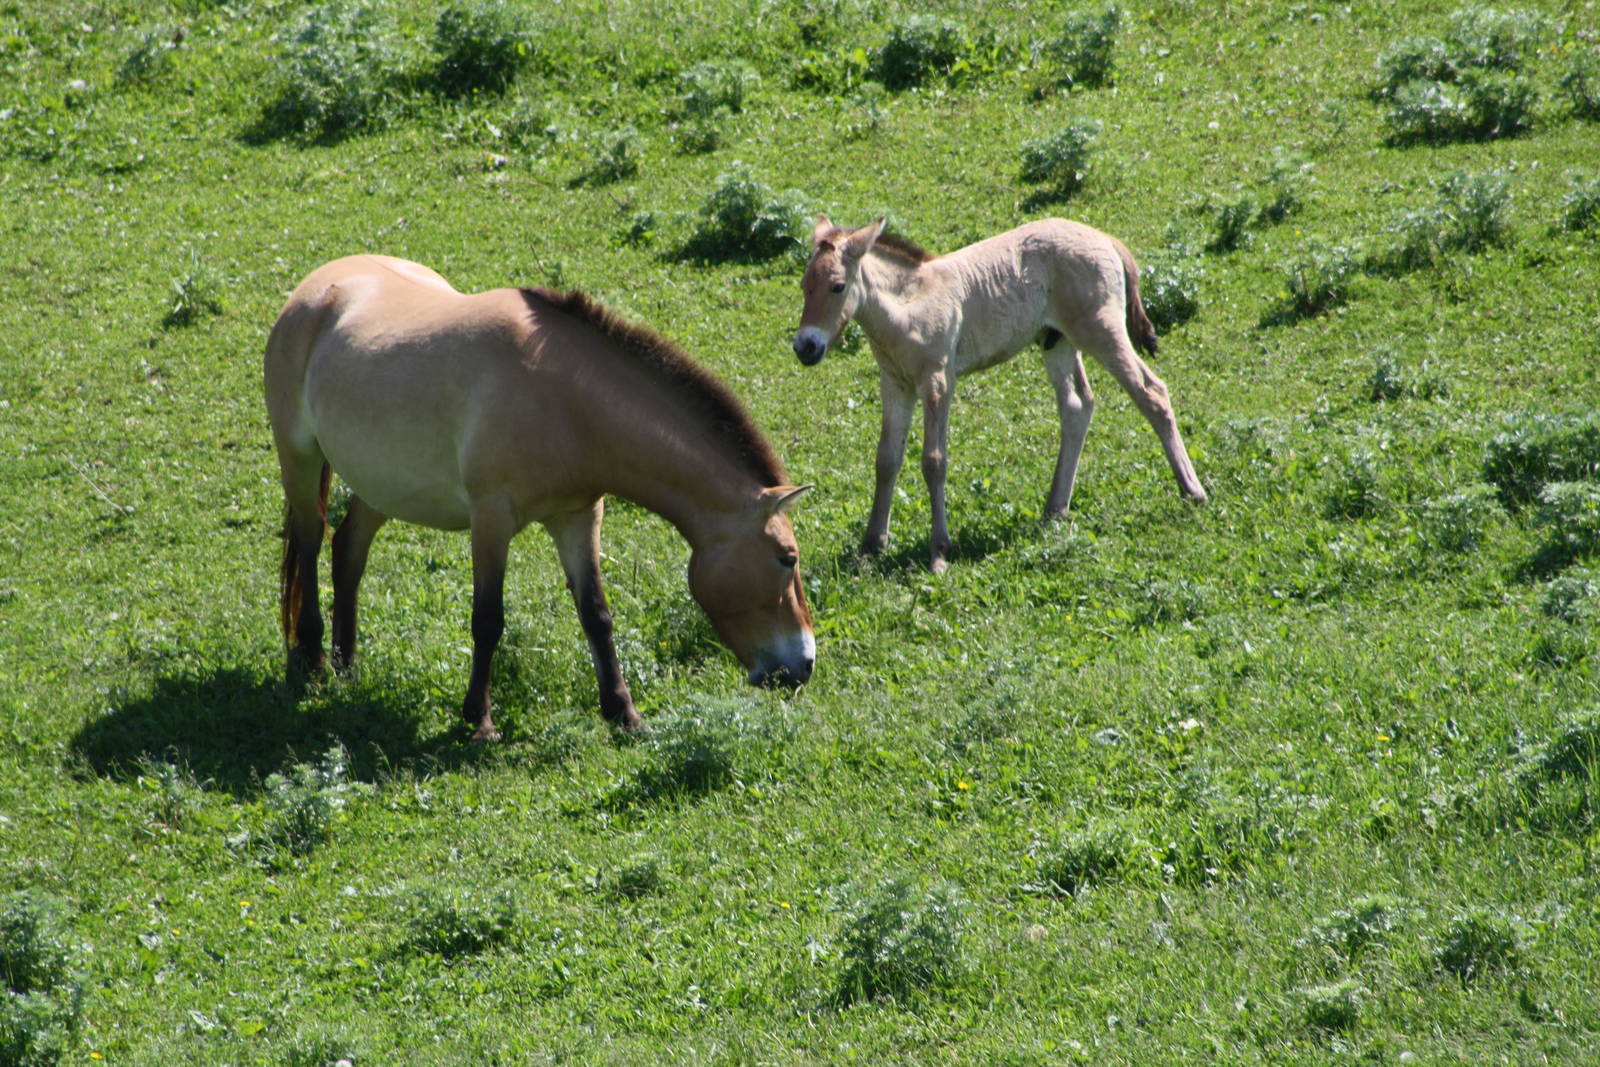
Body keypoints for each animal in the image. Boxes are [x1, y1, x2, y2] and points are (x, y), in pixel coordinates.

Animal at [265, 255, 815, 740]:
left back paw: (347, 666)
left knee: (348, 550)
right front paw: (480, 721)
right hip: (301, 460)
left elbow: (596, 615)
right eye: (786, 558)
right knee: (311, 544)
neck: (564, 401)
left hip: (382, 483)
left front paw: (624, 713)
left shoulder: (578, 516)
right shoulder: (491, 519)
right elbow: (488, 620)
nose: (803, 666)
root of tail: (316, 290)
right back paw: (313, 660)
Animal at [792, 215, 1207, 574]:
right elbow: (886, 459)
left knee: (1151, 392)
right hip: (1057, 341)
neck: (909, 306)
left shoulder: (938, 381)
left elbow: (933, 461)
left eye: (838, 286)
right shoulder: (895, 384)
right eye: (804, 285)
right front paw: (870, 545)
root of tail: (1106, 239)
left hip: (1101, 331)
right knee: (1077, 407)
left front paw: (939, 552)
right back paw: (1055, 508)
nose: (805, 347)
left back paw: (1192, 490)